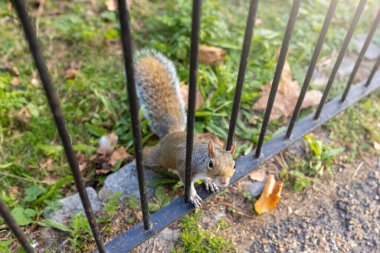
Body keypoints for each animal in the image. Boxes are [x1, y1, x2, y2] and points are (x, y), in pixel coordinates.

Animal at [133, 48, 235, 207]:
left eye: (234, 165)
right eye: (211, 164)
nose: (224, 182)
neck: (201, 162)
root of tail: (172, 133)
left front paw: (209, 182)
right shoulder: (184, 168)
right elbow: (188, 186)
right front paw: (193, 196)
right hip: (157, 155)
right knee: (149, 154)